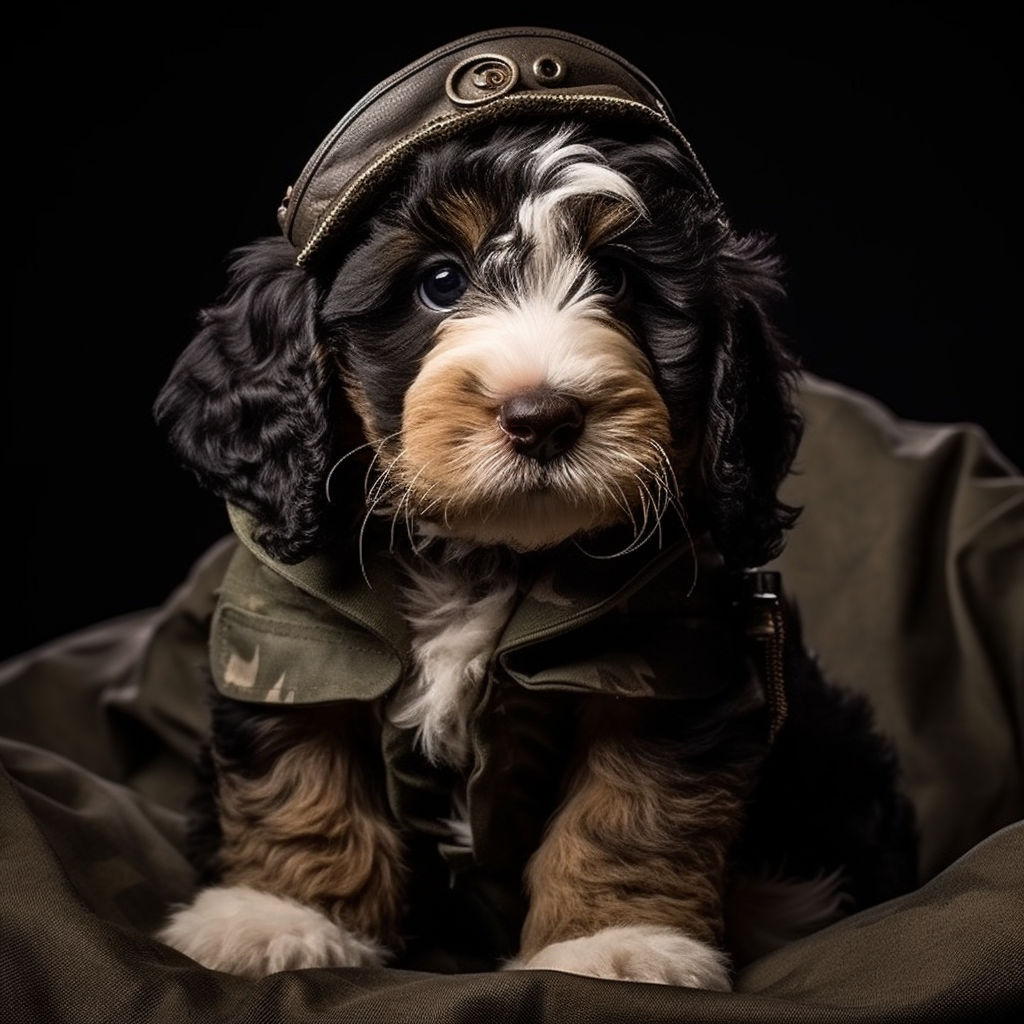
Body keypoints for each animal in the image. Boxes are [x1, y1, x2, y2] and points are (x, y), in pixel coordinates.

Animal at [153, 29, 921, 983]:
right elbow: (300, 770)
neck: (481, 553)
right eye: (441, 282)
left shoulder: (659, 657)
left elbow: (632, 808)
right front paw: (280, 918)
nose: (543, 415)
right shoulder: (293, 633)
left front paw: (617, 944)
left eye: (619, 280)